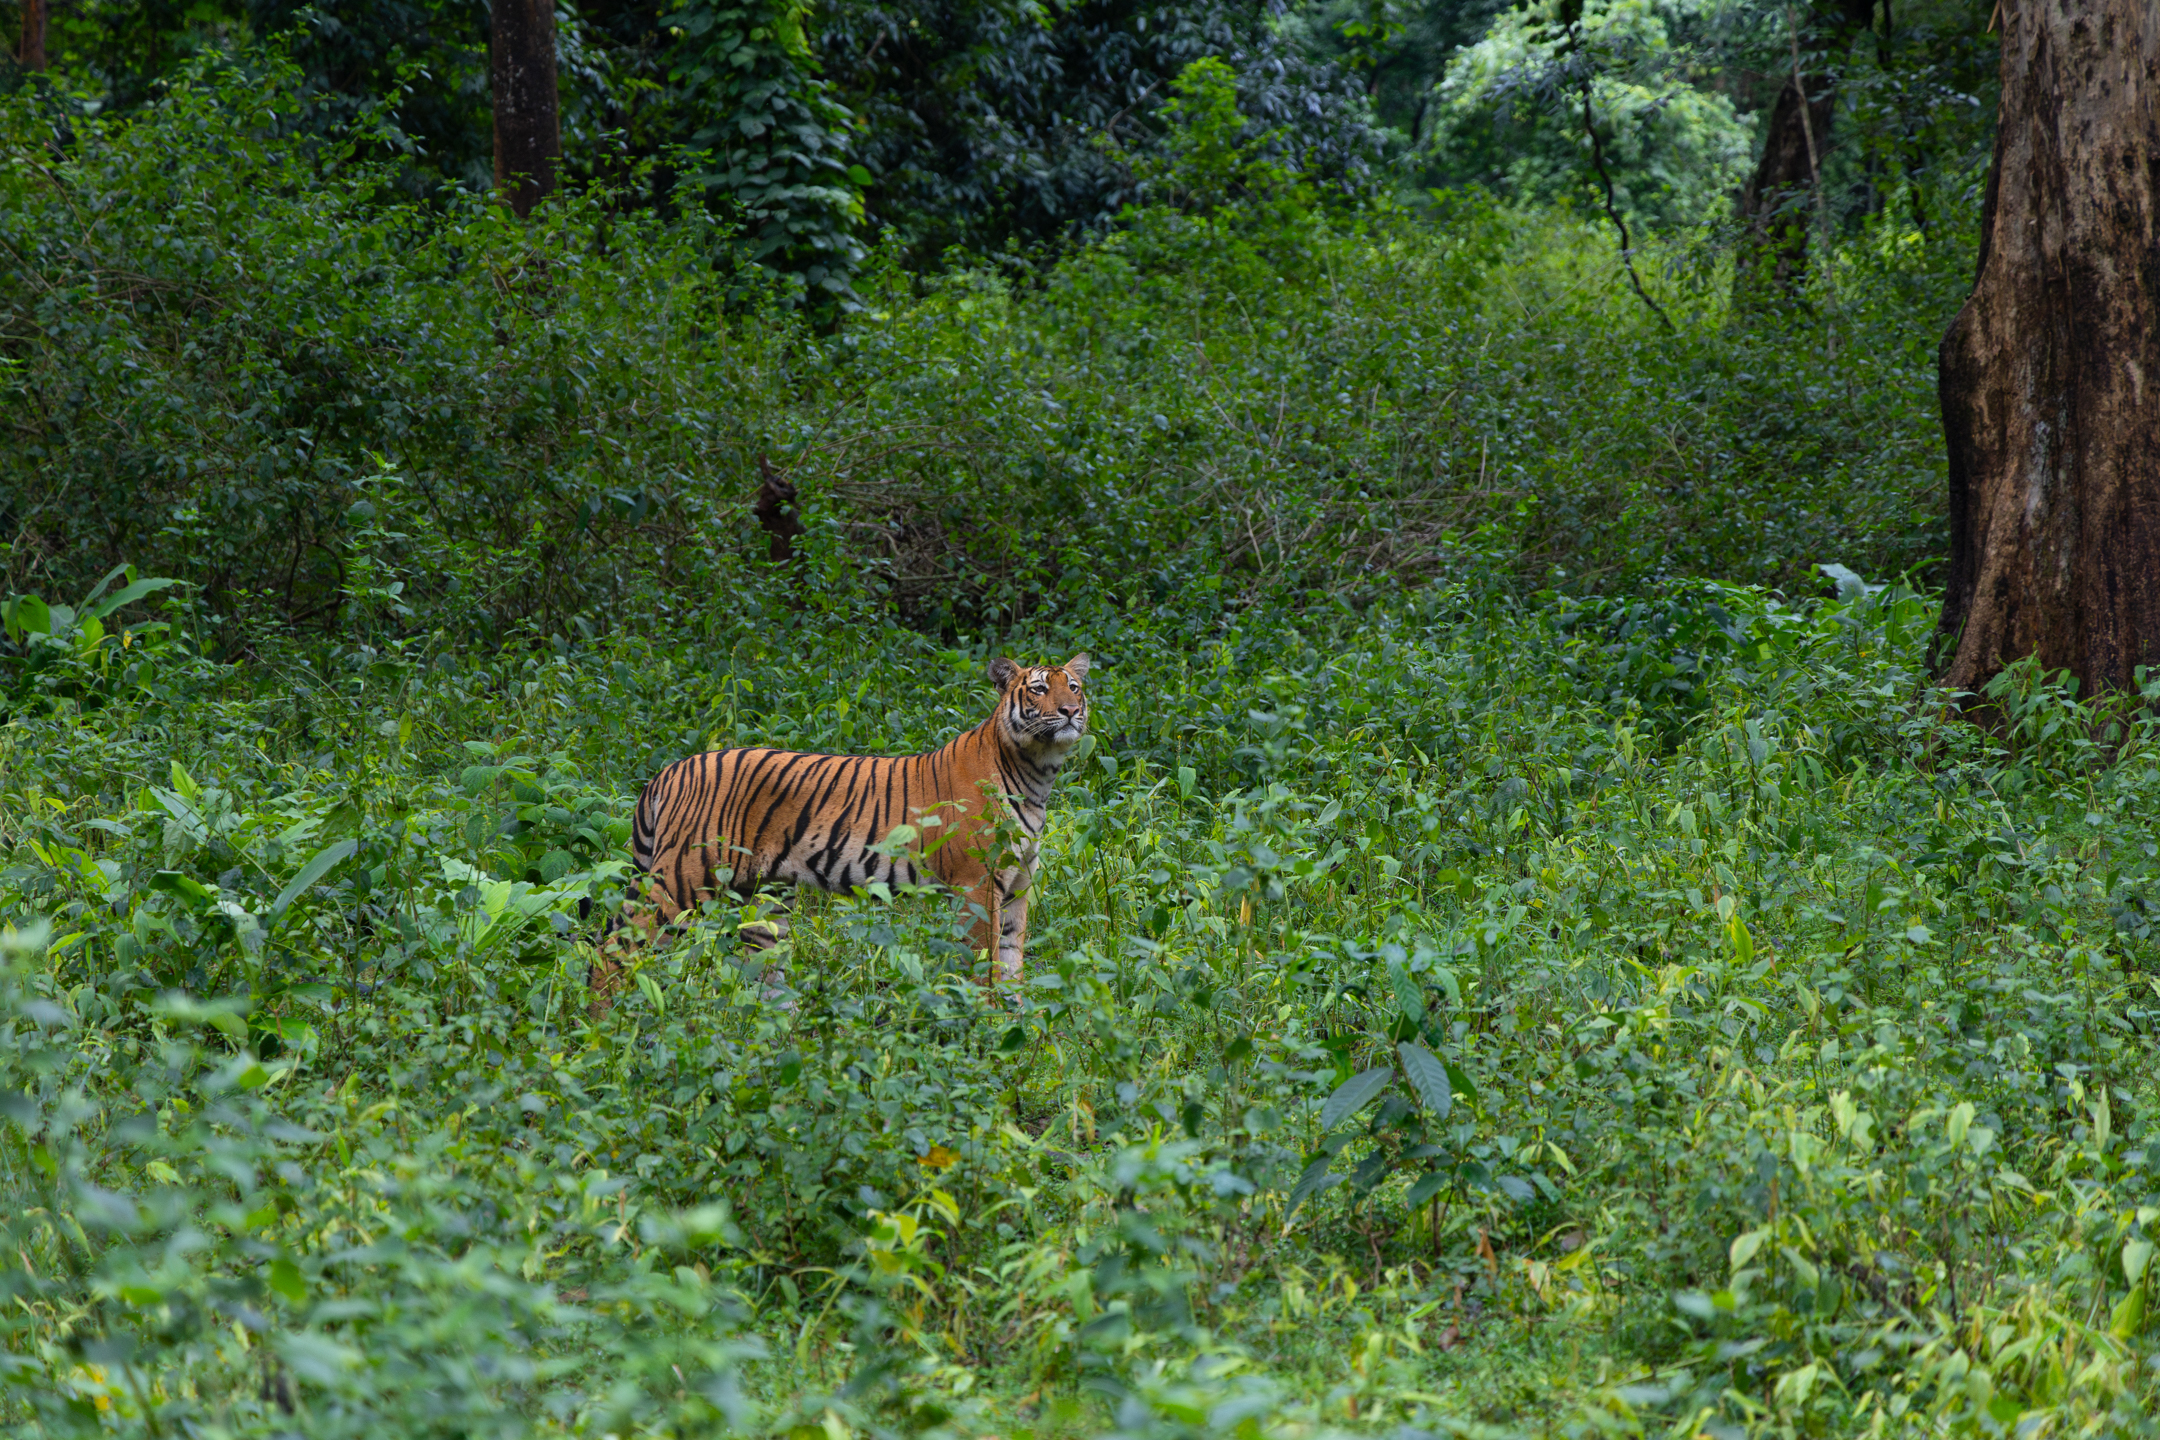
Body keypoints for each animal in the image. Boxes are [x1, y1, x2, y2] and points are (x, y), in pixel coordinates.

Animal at [588, 653, 1091, 1011]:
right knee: (613, 947)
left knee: (762, 979)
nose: (1069, 711)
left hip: (761, 901)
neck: (1037, 773)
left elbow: (1011, 961)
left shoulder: (1017, 886)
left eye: (1074, 687)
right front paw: (984, 1026)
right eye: (1040, 689)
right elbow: (983, 964)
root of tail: (671, 768)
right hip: (683, 879)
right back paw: (605, 1025)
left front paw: (1014, 1028)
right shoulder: (976, 884)